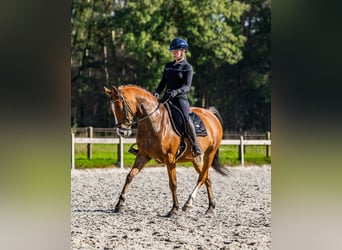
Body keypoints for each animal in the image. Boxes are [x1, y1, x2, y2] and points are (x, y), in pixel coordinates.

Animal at [103, 84, 228, 217]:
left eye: (120, 107)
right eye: (112, 109)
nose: (122, 132)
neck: (154, 121)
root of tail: (210, 114)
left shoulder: (170, 158)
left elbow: (173, 183)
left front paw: (174, 209)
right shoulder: (143, 155)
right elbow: (130, 176)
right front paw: (119, 204)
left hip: (209, 154)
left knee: (202, 177)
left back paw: (188, 204)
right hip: (197, 159)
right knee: (207, 178)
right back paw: (211, 207)